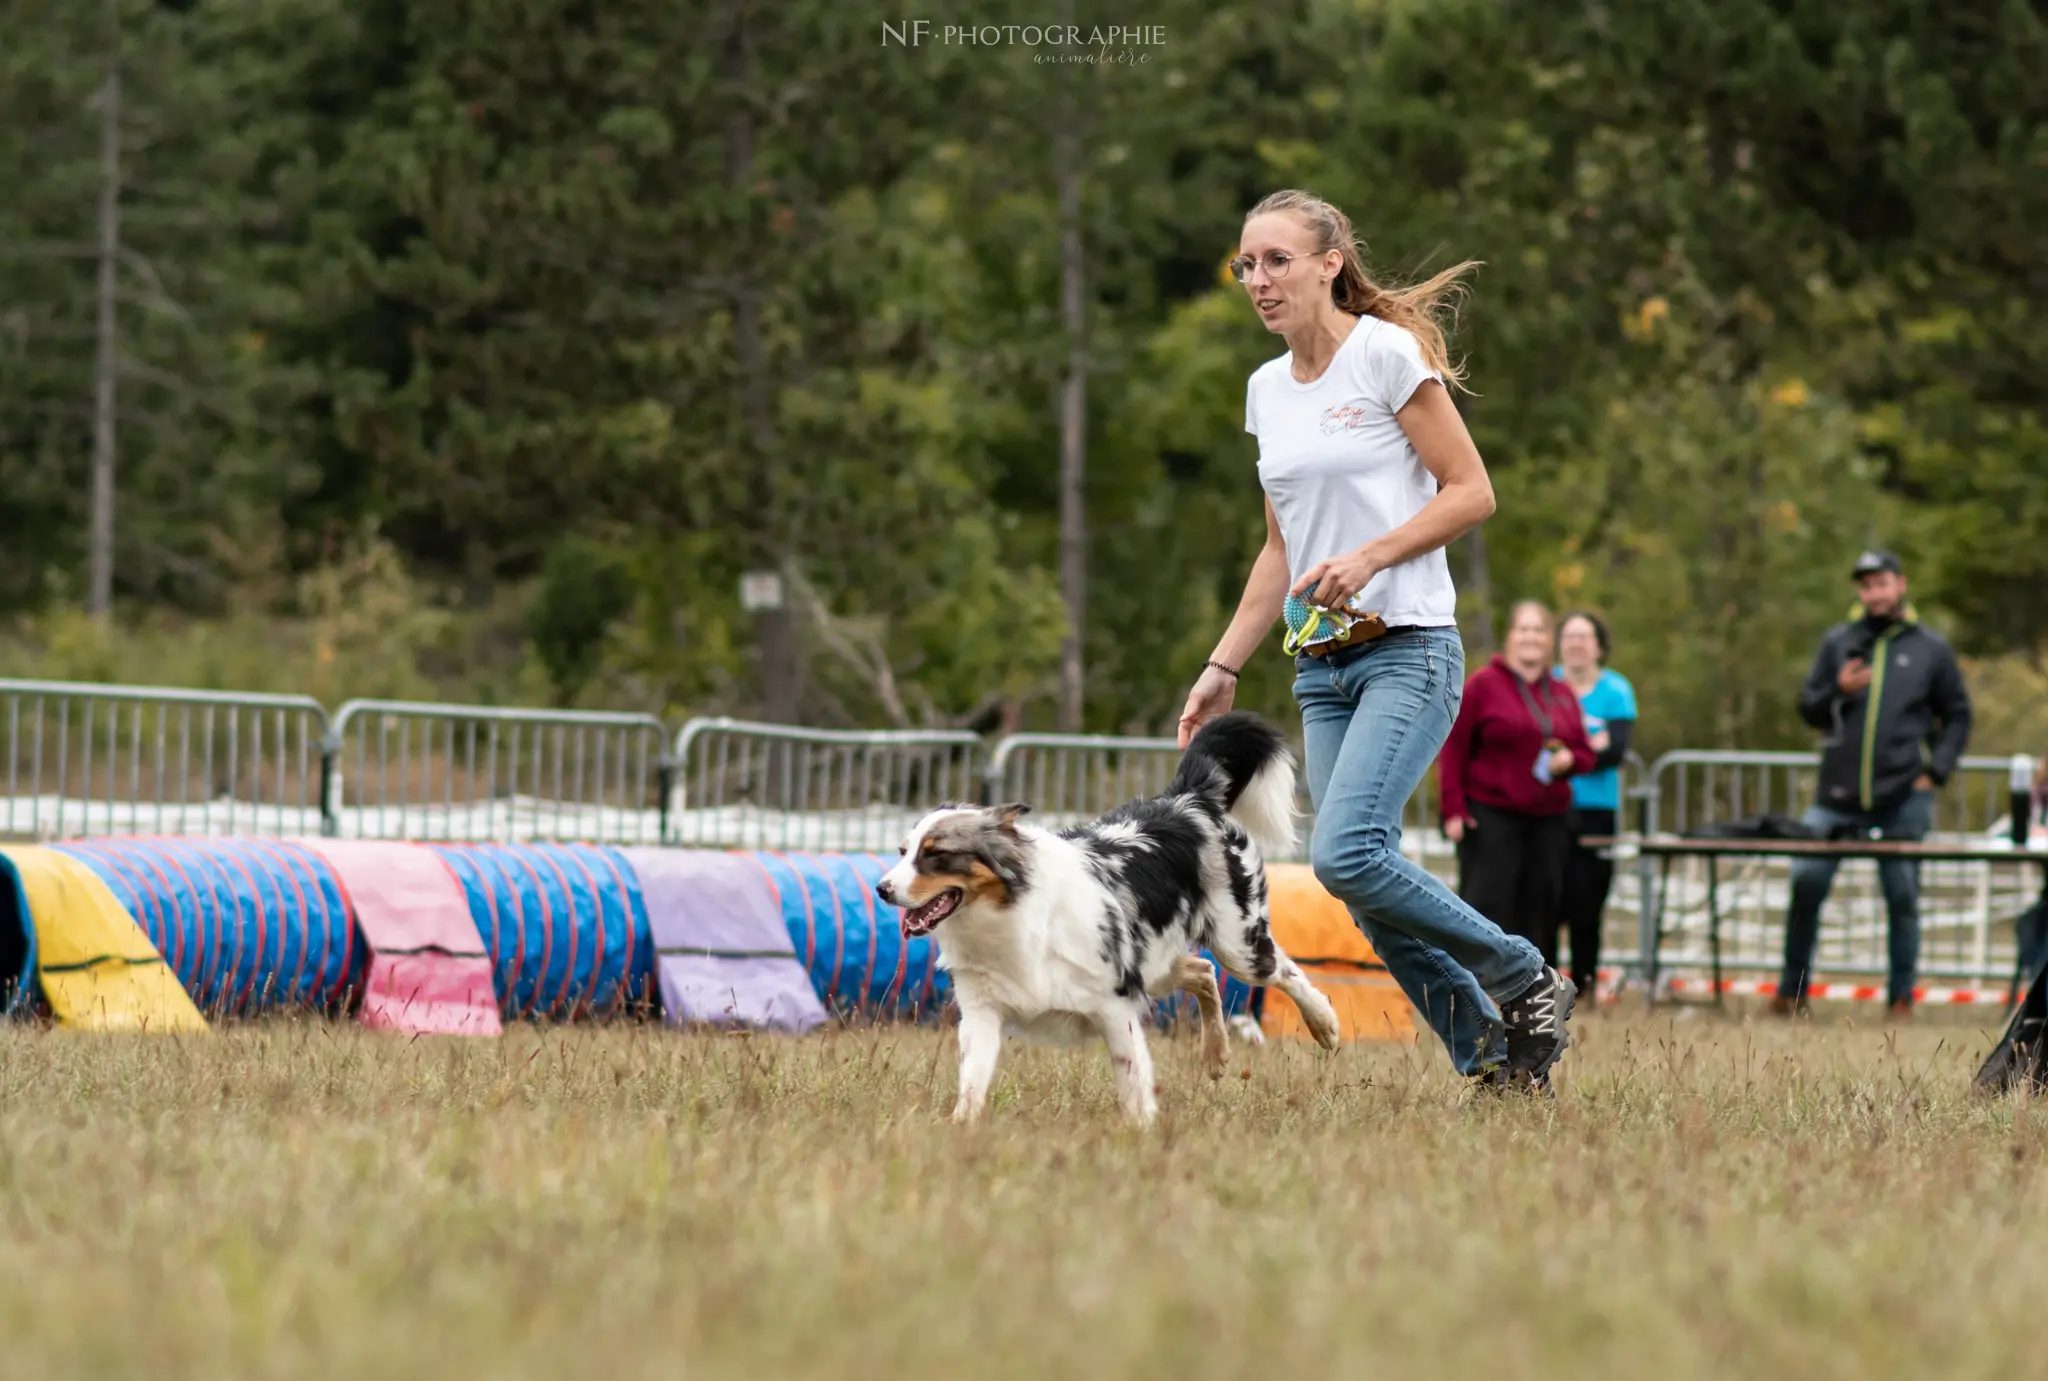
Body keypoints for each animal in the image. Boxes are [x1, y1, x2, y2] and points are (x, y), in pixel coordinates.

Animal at [872, 708, 1335, 1114]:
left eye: (936, 855)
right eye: (903, 851)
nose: (881, 889)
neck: (1005, 916)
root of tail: (1186, 799)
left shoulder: (1117, 1004)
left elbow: (1134, 1083)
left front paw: (1141, 1129)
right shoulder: (983, 1011)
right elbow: (972, 1083)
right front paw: (961, 1127)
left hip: (1237, 945)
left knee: (1283, 970)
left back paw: (1324, 1024)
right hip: (1154, 962)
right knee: (1203, 972)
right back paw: (1216, 1054)